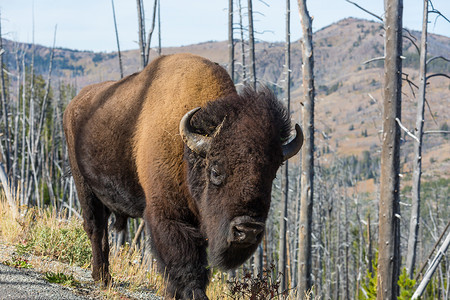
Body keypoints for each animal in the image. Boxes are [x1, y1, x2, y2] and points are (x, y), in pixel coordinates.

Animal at [62, 52, 302, 298]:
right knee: (96, 228)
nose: (248, 230)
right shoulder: (168, 215)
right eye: (215, 170)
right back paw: (102, 277)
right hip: (85, 188)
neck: (188, 151)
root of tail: (73, 104)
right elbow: (184, 259)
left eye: (272, 175)